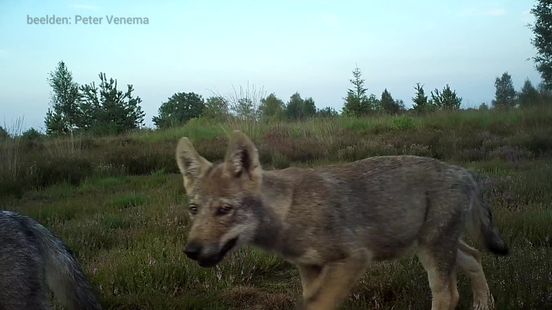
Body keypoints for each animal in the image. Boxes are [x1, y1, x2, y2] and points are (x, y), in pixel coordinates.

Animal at [177, 131, 508, 310]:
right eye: (193, 209)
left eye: (224, 210)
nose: (190, 251)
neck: (289, 212)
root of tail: (462, 171)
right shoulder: (310, 268)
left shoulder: (353, 259)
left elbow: (319, 304)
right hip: (436, 247)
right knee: (475, 256)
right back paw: (484, 303)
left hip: (432, 252)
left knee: (449, 295)